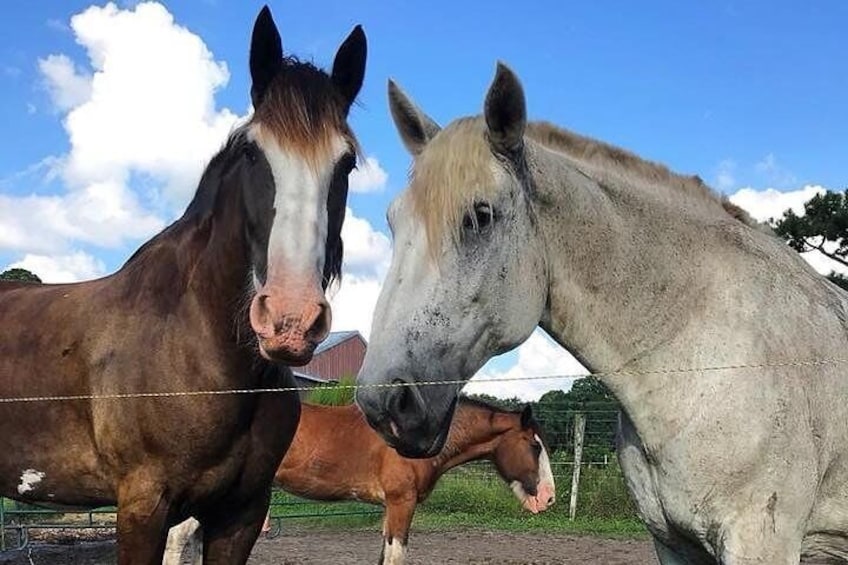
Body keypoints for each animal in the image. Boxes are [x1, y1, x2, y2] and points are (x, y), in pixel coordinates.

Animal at [356, 62, 848, 564]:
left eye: (480, 215)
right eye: (394, 221)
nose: (383, 403)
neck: (706, 360)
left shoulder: (761, 542)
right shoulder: (673, 543)